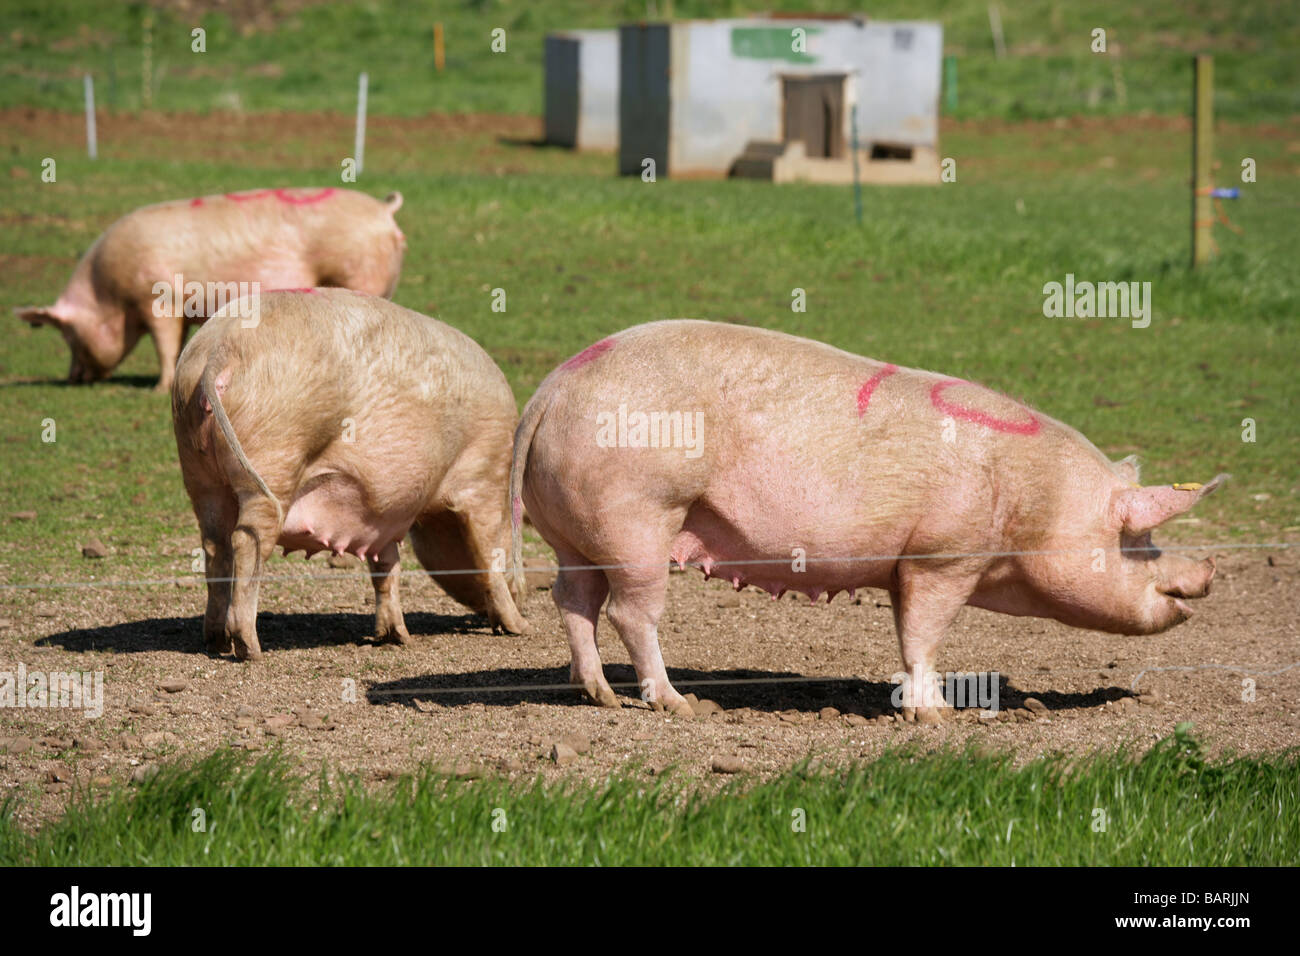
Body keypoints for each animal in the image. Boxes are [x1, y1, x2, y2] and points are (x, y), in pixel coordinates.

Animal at [17, 187, 403, 392]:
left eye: (67, 334)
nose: (72, 378)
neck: (110, 297)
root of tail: (384, 211)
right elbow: (177, 346)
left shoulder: (159, 300)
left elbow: (165, 345)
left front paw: (158, 389)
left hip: (360, 275)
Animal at [174, 287, 527, 660]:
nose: (525, 598)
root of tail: (220, 348)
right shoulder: (483, 475)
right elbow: (489, 557)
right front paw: (519, 628)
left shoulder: (382, 516)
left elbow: (387, 567)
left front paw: (397, 637)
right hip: (274, 459)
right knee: (246, 541)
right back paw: (250, 648)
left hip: (200, 475)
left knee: (215, 546)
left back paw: (216, 641)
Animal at [512, 321, 1222, 717]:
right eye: (1137, 537)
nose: (1210, 568)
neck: (1034, 503)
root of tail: (551, 389)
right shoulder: (942, 556)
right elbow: (923, 635)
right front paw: (937, 718)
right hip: (640, 513)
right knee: (630, 612)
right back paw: (679, 705)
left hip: (576, 530)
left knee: (572, 599)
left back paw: (597, 694)